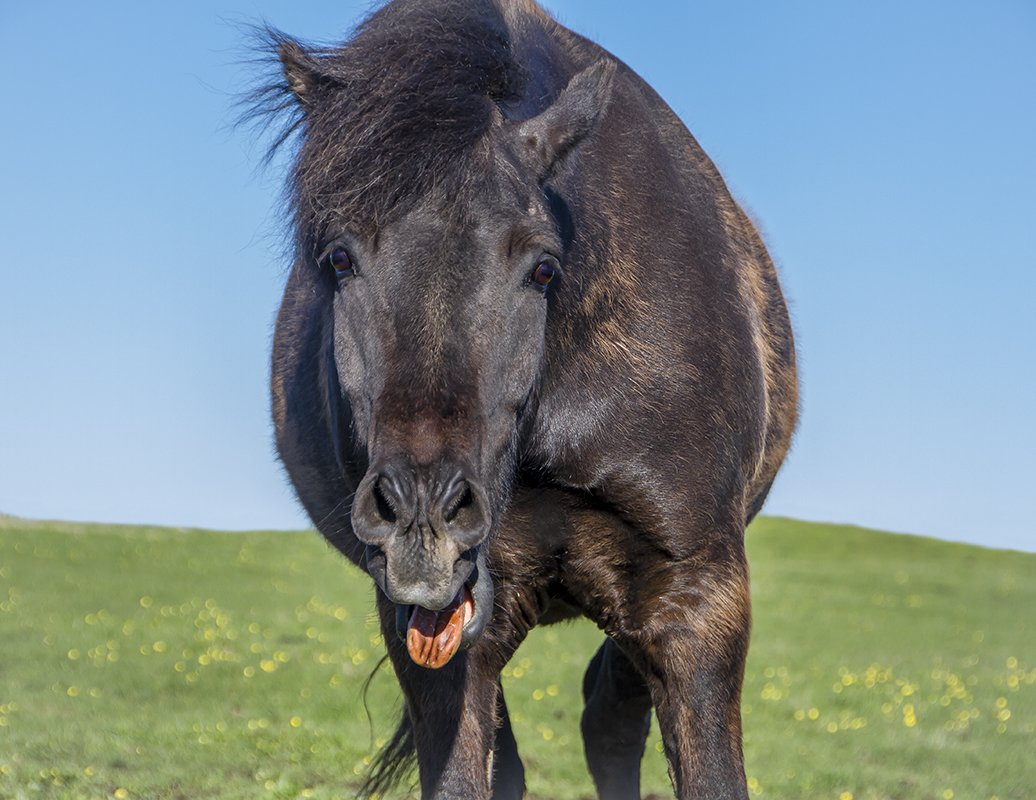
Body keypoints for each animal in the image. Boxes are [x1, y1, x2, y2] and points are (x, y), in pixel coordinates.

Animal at [252, 3, 799, 795]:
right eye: (340, 258)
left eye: (542, 267)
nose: (423, 517)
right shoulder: (442, 628)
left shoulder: (697, 596)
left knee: (608, 719)